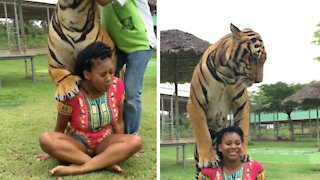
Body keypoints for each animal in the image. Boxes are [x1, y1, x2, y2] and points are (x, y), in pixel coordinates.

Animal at [186, 23, 266, 178]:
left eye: (264, 60)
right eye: (254, 56)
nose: (259, 81)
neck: (228, 74)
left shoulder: (242, 104)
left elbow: (244, 129)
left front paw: (244, 155)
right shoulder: (195, 103)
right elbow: (202, 132)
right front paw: (209, 159)